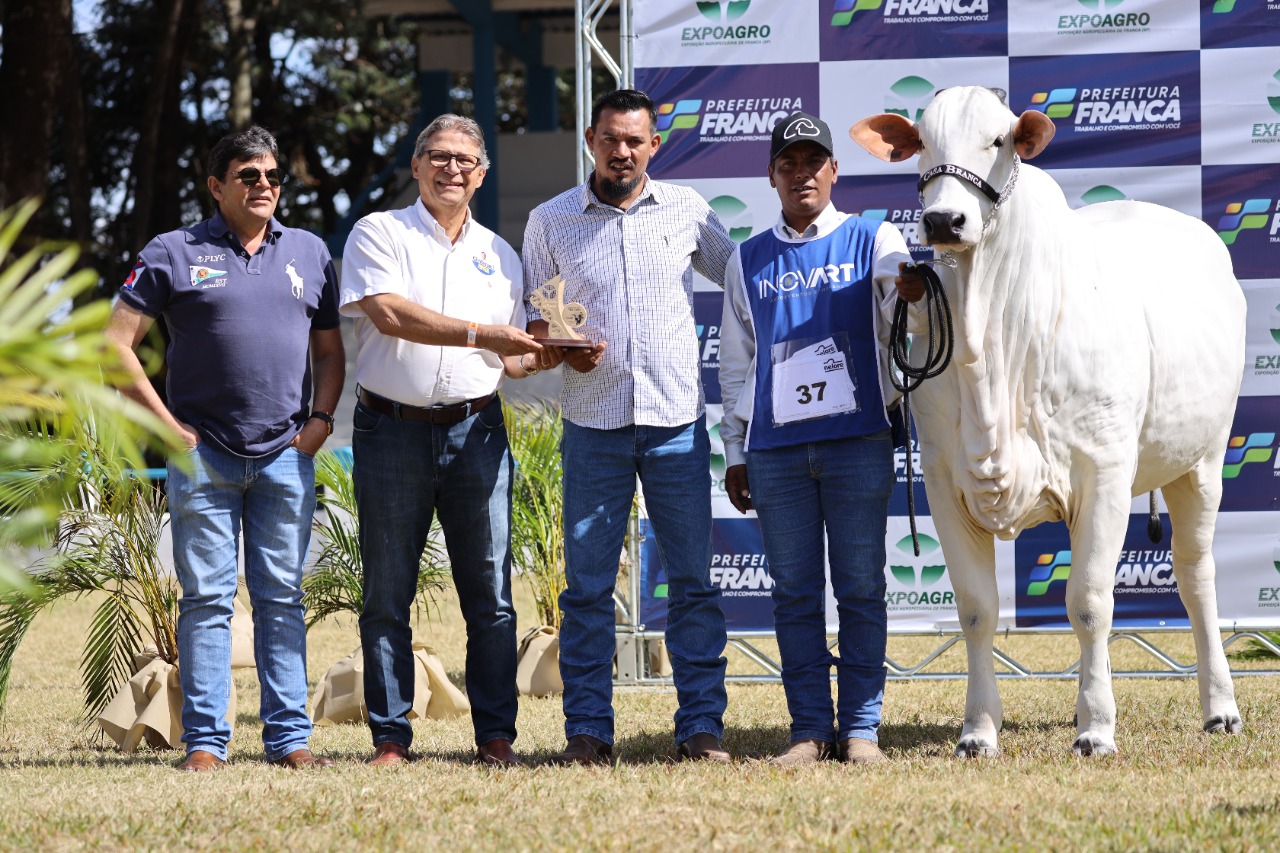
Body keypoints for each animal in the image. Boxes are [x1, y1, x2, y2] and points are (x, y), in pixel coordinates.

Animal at [855, 84, 1244, 753]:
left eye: (999, 140)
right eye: (923, 143)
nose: (943, 221)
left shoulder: (1104, 471)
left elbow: (1088, 602)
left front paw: (1096, 728)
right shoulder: (943, 483)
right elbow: (977, 608)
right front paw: (979, 731)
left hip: (1202, 461)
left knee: (1196, 577)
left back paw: (1219, 706)